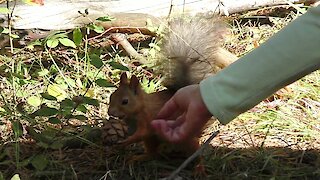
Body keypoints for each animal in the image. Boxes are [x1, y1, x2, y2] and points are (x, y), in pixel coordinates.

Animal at [107, 16, 238, 163]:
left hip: (186, 138)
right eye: (111, 96)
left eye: (125, 101)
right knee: (153, 153)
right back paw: (139, 157)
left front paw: (125, 141)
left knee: (193, 152)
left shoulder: (147, 118)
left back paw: (198, 166)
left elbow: (142, 133)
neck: (138, 109)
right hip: (153, 139)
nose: (110, 112)